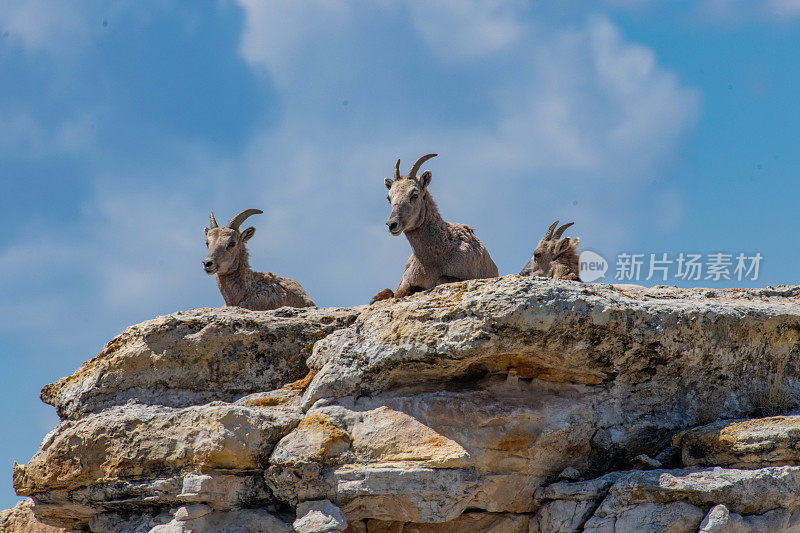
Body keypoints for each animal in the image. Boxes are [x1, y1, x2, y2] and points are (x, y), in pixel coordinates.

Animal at [372, 154, 496, 304]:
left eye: (414, 194)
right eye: (389, 198)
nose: (392, 224)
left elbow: (441, 280)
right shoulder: (405, 281)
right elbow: (396, 292)